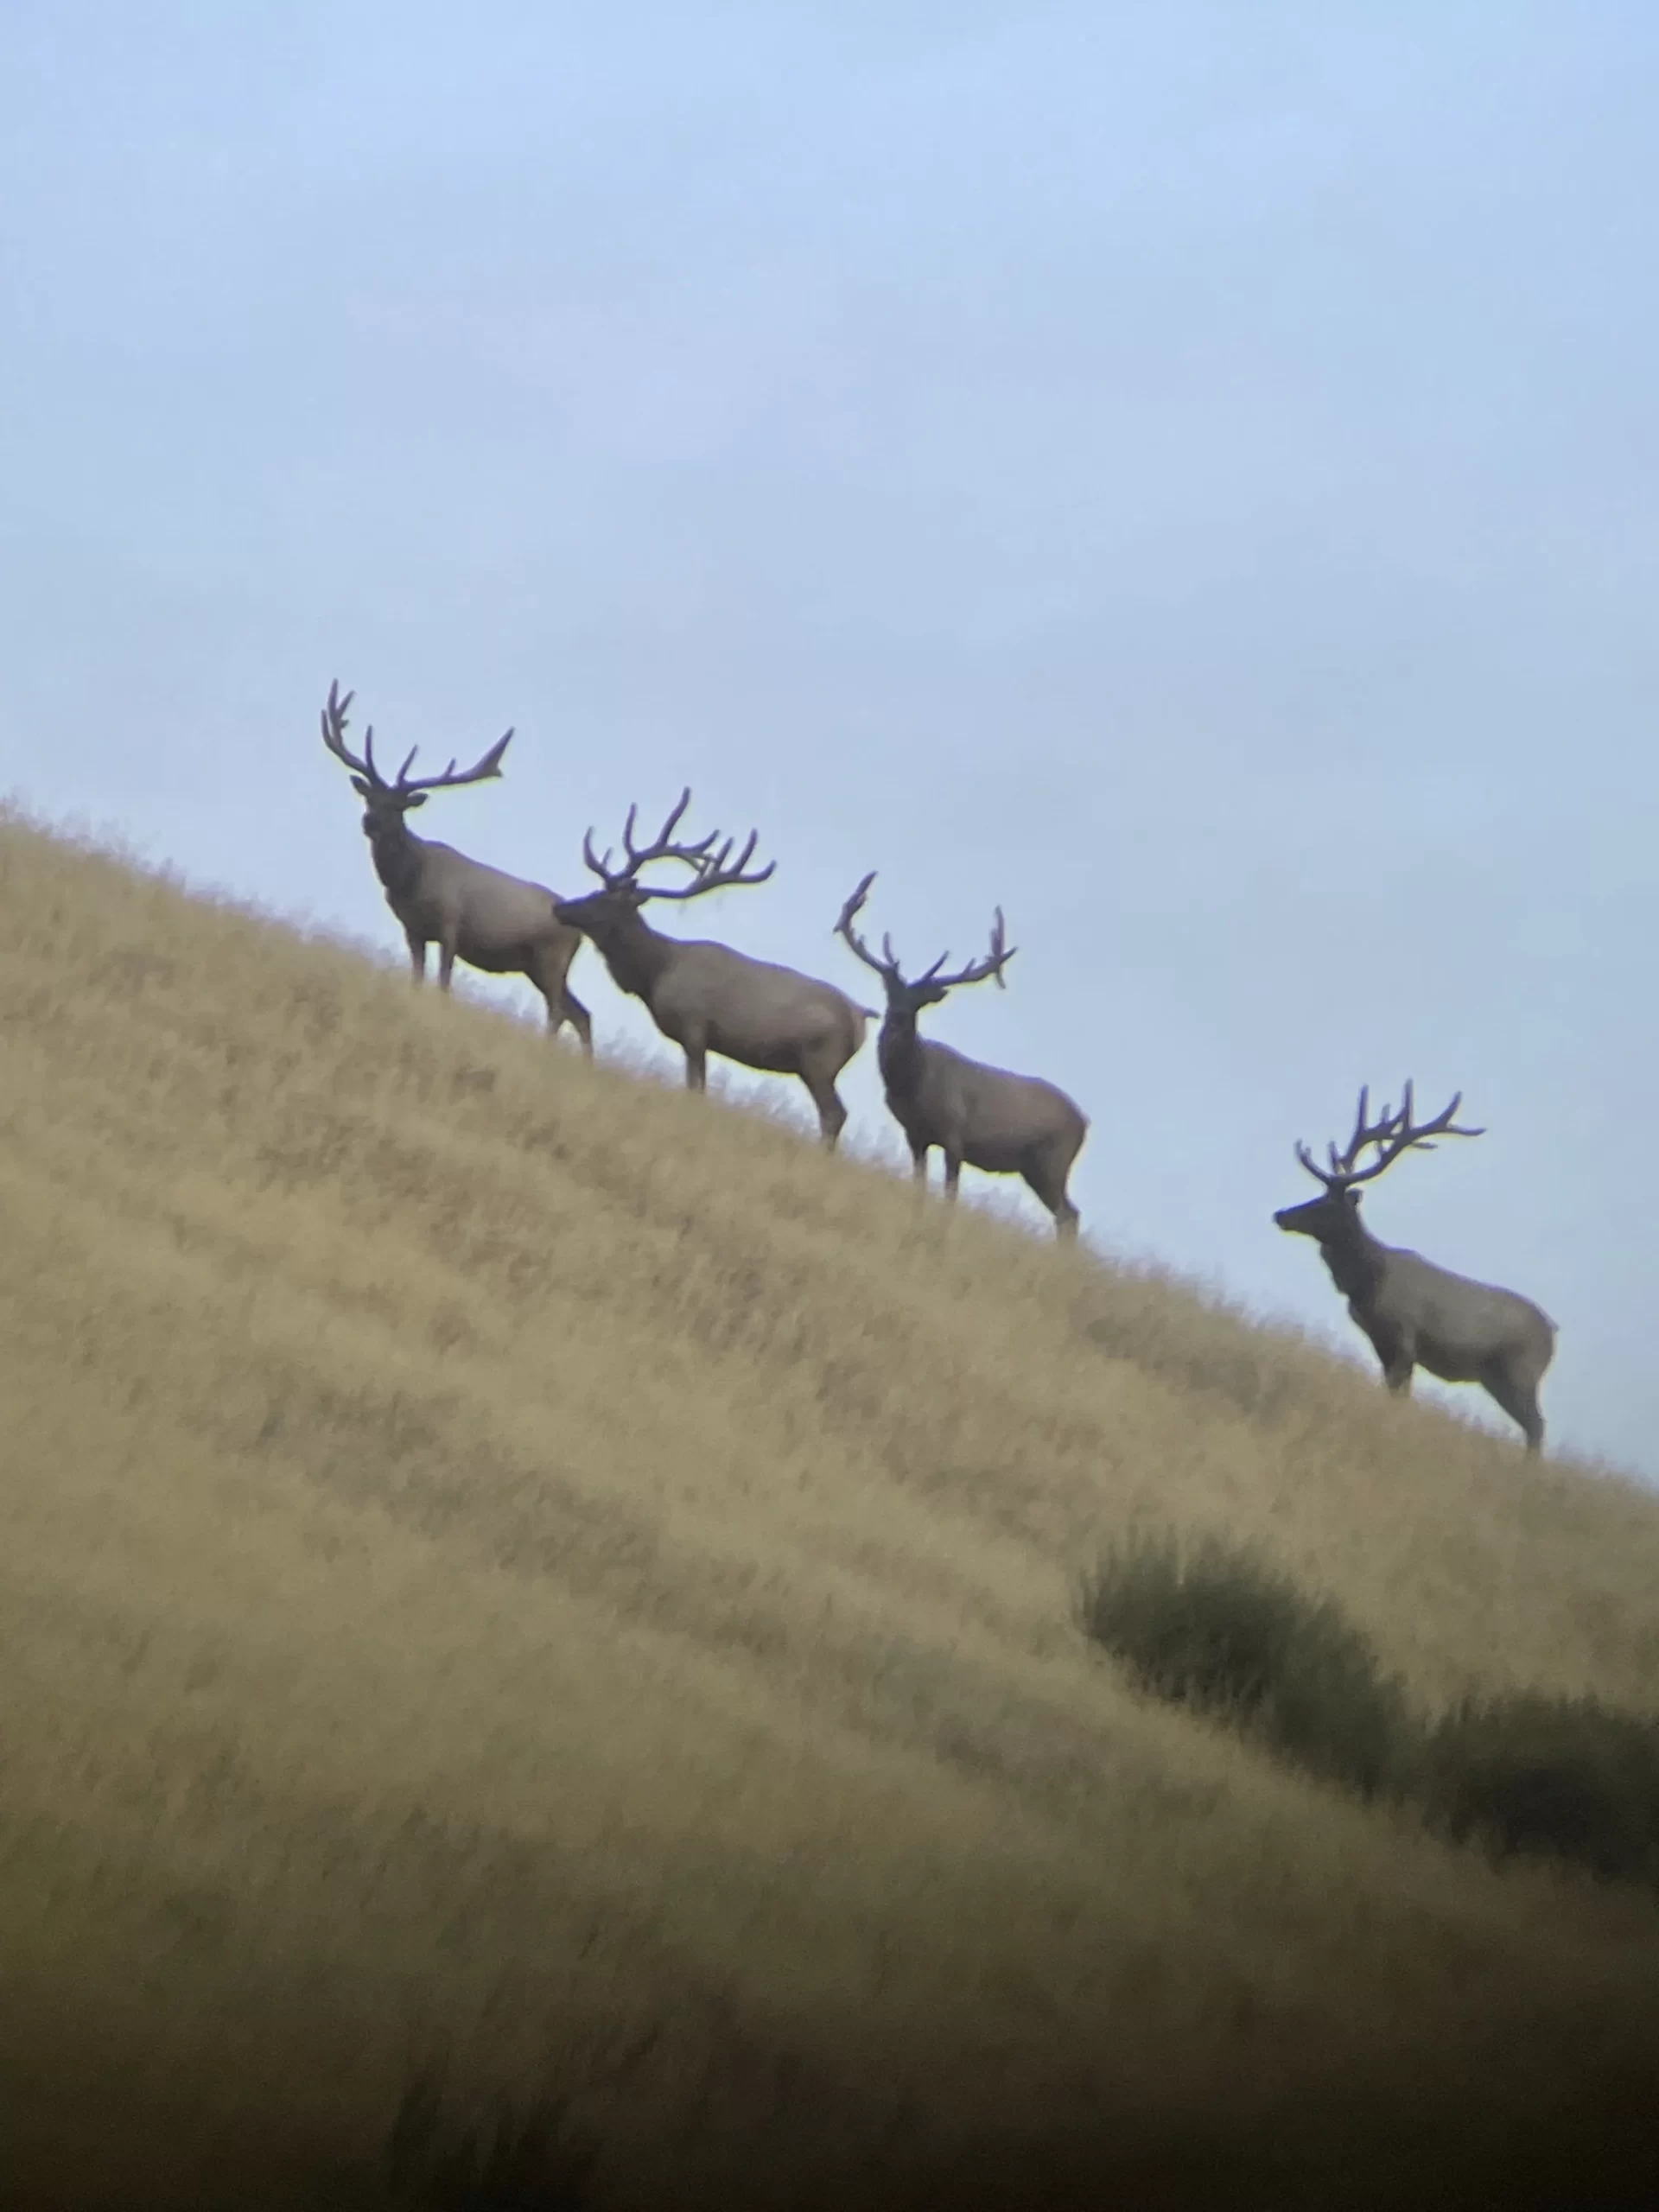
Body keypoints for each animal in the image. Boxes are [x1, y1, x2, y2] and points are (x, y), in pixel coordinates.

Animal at [321, 681, 591, 1052]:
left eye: (400, 806)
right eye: (369, 797)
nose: (370, 822)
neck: (410, 881)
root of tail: (580, 930)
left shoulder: (452, 925)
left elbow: (444, 982)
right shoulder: (413, 929)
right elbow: (417, 977)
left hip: (551, 957)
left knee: (559, 1011)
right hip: (538, 965)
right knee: (580, 1014)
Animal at [552, 791, 872, 1146]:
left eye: (604, 899)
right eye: (596, 890)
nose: (561, 907)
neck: (655, 972)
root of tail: (861, 1018)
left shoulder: (695, 1026)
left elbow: (697, 1088)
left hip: (819, 1061)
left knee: (834, 1114)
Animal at [834, 873, 1089, 1240]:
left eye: (921, 1002)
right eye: (890, 991)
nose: (896, 1019)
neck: (913, 1084)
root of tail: (1085, 1122)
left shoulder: (955, 1136)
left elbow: (950, 1195)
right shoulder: (915, 1135)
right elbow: (919, 1186)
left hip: (1051, 1160)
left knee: (1070, 1214)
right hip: (1036, 1167)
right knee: (1067, 1214)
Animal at [1274, 1083, 1556, 1451]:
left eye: (1327, 1204)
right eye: (1317, 1196)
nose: (1281, 1214)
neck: (1368, 1282)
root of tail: (1553, 1334)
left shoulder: (1404, 1335)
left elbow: (1401, 1394)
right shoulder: (1378, 1339)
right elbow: (1392, 1391)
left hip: (1519, 1371)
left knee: (1537, 1425)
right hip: (1497, 1378)